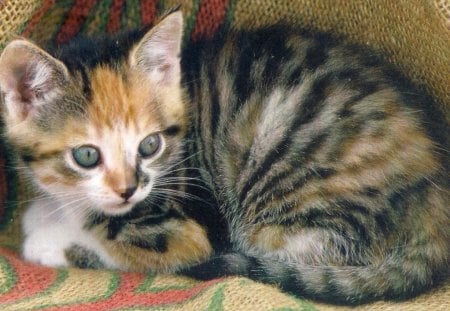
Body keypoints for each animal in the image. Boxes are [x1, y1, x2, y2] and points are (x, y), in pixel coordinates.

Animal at [0, 11, 450, 304]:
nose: (128, 190)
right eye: (86, 155)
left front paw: (49, 239)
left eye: (149, 146)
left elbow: (130, 249)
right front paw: (49, 211)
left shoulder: (186, 229)